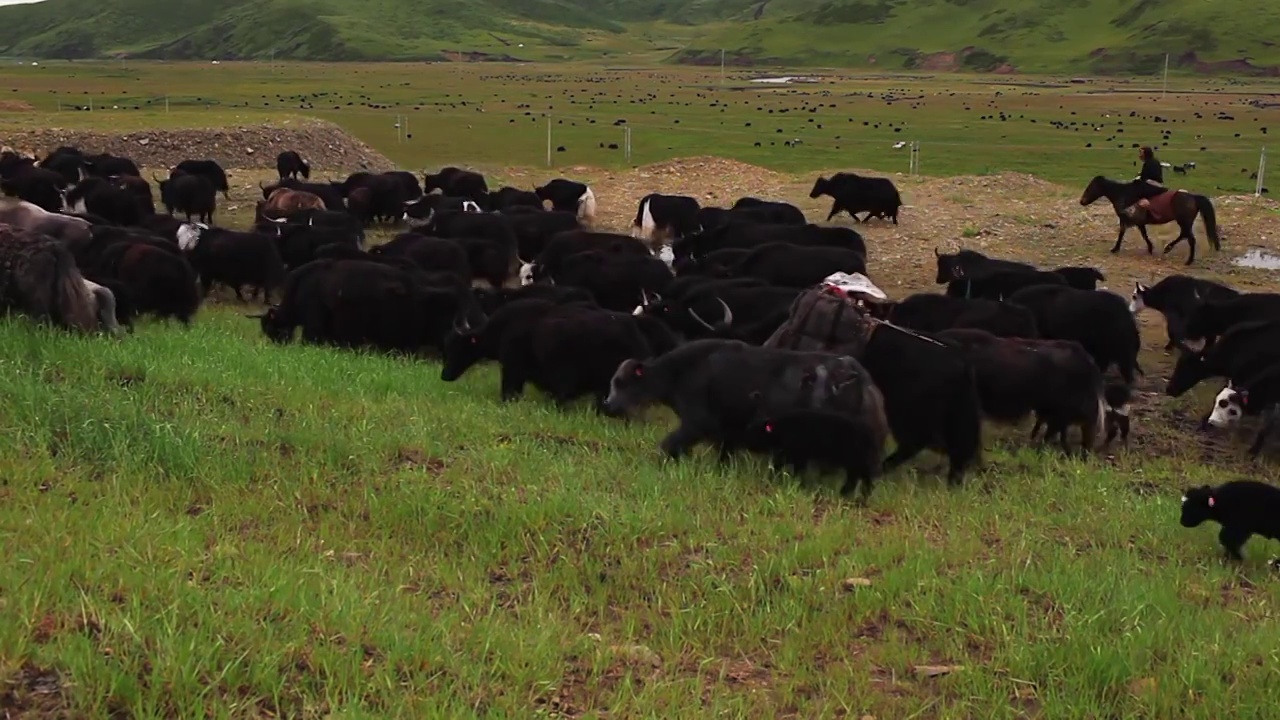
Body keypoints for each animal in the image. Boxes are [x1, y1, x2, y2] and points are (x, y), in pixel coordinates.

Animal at [1080, 175, 1218, 265]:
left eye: (1091, 187)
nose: (1082, 201)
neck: (1123, 194)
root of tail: (1193, 197)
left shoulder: (1125, 219)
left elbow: (1122, 233)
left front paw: (1115, 249)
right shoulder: (1139, 222)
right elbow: (1144, 234)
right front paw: (1150, 248)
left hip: (1184, 222)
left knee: (1190, 239)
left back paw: (1188, 260)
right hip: (1184, 223)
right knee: (1184, 235)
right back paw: (1168, 248)